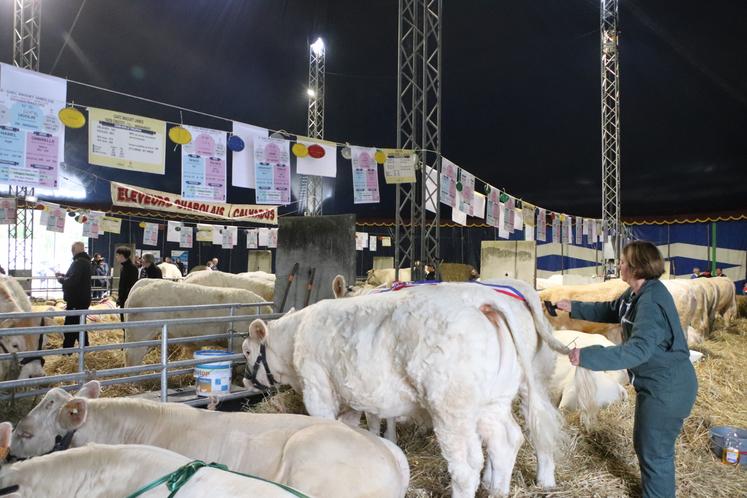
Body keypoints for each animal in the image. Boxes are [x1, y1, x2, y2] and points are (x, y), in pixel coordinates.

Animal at [243, 282, 568, 496]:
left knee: (466, 466)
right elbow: (356, 425)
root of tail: (484, 302)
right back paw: (503, 488)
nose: (245, 380)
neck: (296, 335)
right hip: (495, 400)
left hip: (452, 407)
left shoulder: (317, 388)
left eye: (246, 350)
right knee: (508, 440)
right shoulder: (353, 396)